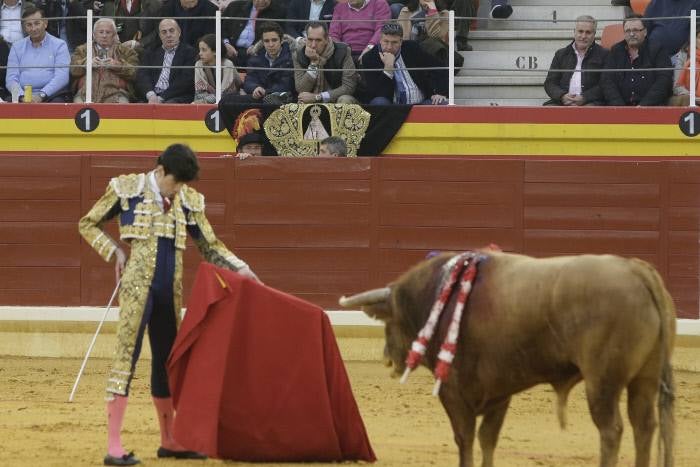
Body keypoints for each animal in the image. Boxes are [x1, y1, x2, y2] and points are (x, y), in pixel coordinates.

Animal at [340, 252, 672, 467]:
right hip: (645, 378)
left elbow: (464, 439)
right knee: (644, 426)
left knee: (611, 429)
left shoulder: (453, 392)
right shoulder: (499, 394)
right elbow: (488, 439)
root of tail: (638, 271)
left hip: (602, 381)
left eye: (389, 320)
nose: (387, 359)